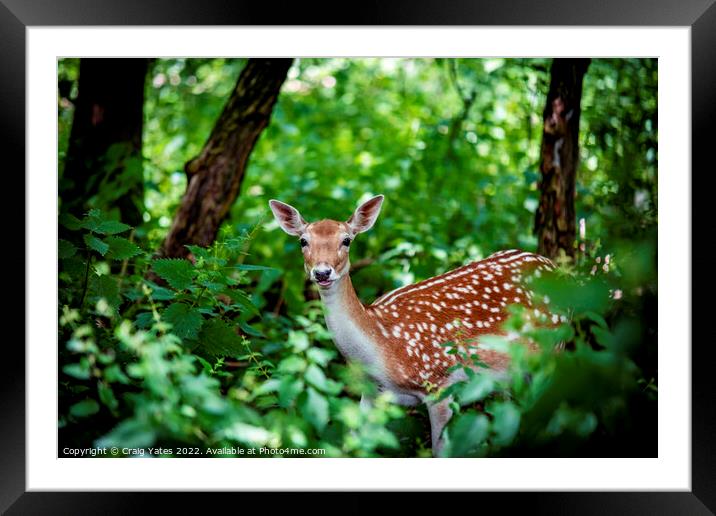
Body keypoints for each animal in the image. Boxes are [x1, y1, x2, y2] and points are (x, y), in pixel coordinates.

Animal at [268, 195, 560, 456]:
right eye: (303, 241)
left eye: (347, 240)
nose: (322, 272)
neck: (382, 345)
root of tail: (555, 266)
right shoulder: (371, 395)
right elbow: (352, 443)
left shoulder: (440, 384)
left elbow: (441, 451)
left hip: (551, 350)